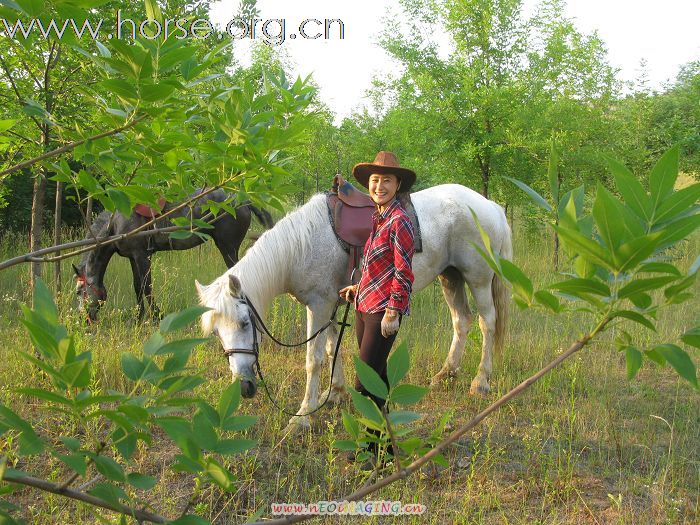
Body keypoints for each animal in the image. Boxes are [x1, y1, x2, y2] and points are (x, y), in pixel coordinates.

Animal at [72, 186, 274, 322]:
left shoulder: (142, 256)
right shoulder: (133, 257)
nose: (82, 319)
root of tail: (244, 201)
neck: (115, 224)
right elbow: (137, 286)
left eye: (79, 291)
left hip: (228, 247)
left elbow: (146, 286)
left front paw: (156, 316)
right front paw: (139, 317)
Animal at [194, 183, 512, 430]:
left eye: (245, 323)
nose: (244, 387)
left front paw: (302, 417)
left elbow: (313, 359)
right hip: (451, 277)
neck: (301, 247)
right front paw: (335, 393)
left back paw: (480, 382)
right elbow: (331, 348)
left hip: (478, 278)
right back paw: (446, 373)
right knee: (462, 320)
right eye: (216, 333)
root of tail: (490, 206)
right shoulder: (331, 305)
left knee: (487, 322)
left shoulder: (319, 305)